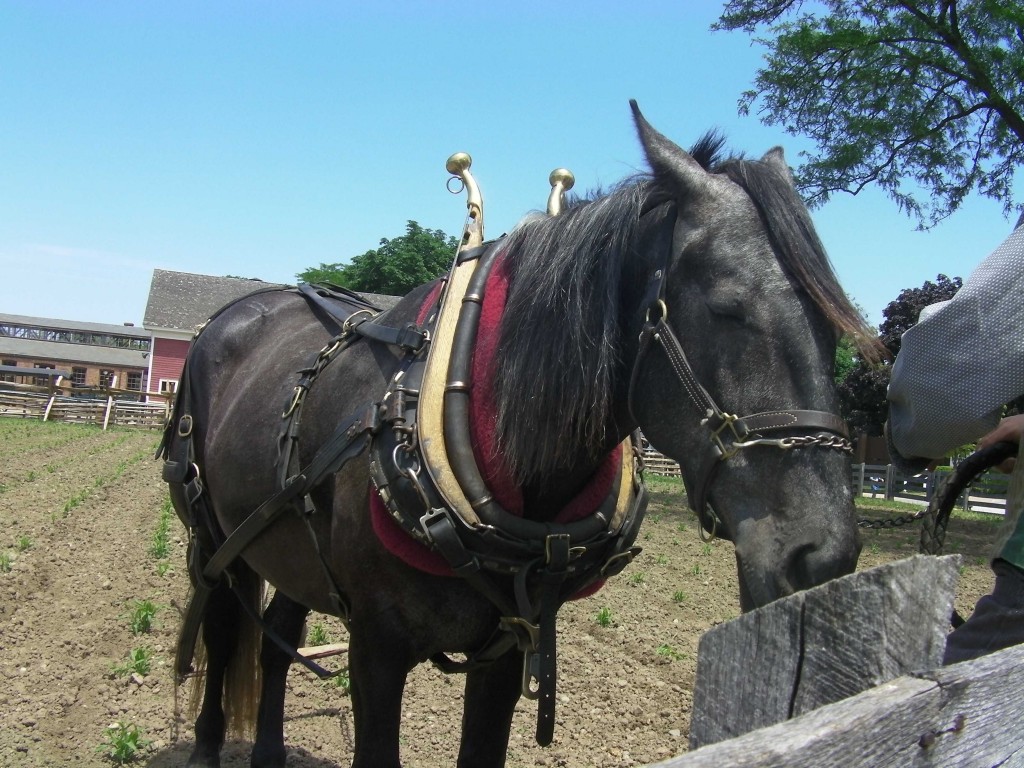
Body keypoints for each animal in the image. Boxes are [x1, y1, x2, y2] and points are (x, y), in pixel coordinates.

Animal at [163, 102, 876, 768]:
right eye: (730, 307)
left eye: (833, 323)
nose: (822, 556)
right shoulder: (374, 650)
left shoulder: (509, 645)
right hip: (217, 541)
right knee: (223, 637)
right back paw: (206, 744)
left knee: (276, 642)